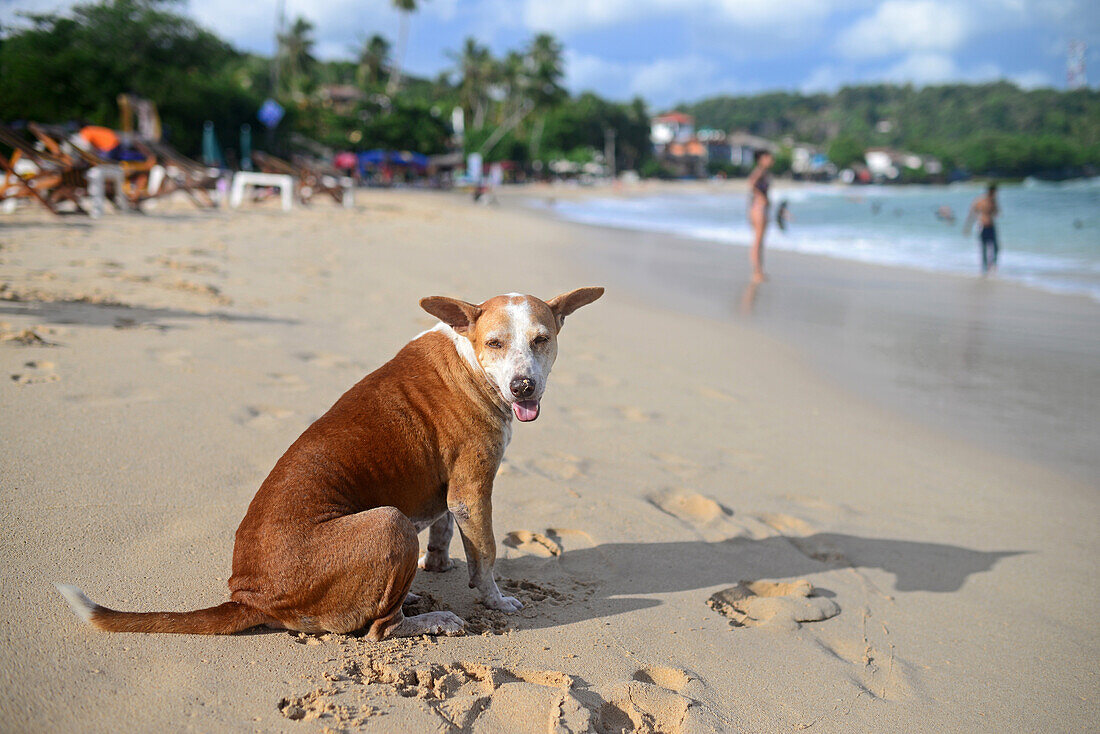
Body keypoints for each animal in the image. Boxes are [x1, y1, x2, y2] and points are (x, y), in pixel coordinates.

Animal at [55, 290, 607, 638]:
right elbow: (486, 555)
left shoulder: (453, 492)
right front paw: (494, 599)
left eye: (542, 339)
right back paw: (428, 620)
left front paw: (439, 564)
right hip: (389, 524)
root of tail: (250, 596)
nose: (523, 386)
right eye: (495, 343)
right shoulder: (473, 489)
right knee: (378, 629)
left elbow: (446, 530)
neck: (468, 355)